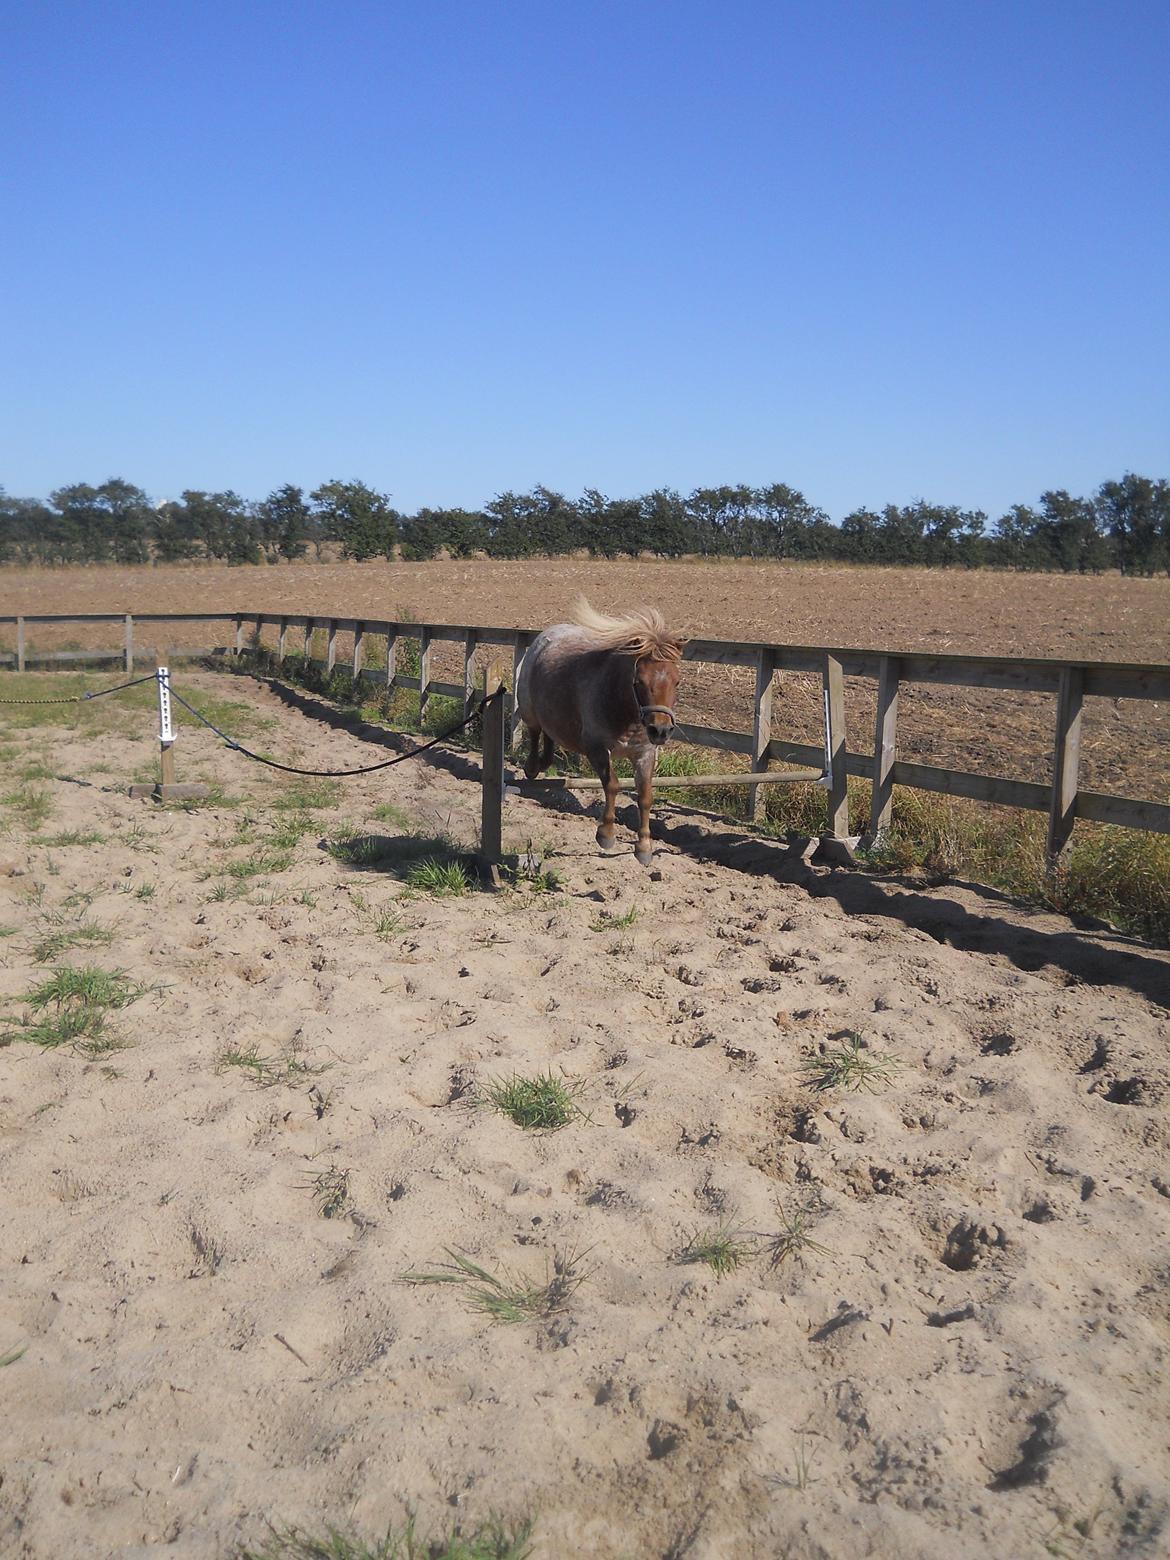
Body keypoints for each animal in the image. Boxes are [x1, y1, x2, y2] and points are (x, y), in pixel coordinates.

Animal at [514, 595, 686, 867]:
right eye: (639, 681)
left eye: (676, 681)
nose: (660, 729)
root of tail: (549, 633)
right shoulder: (596, 748)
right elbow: (612, 785)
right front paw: (606, 834)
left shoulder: (645, 754)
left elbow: (645, 796)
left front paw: (644, 847)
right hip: (529, 707)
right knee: (534, 732)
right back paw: (532, 767)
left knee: (550, 734)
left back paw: (544, 762)